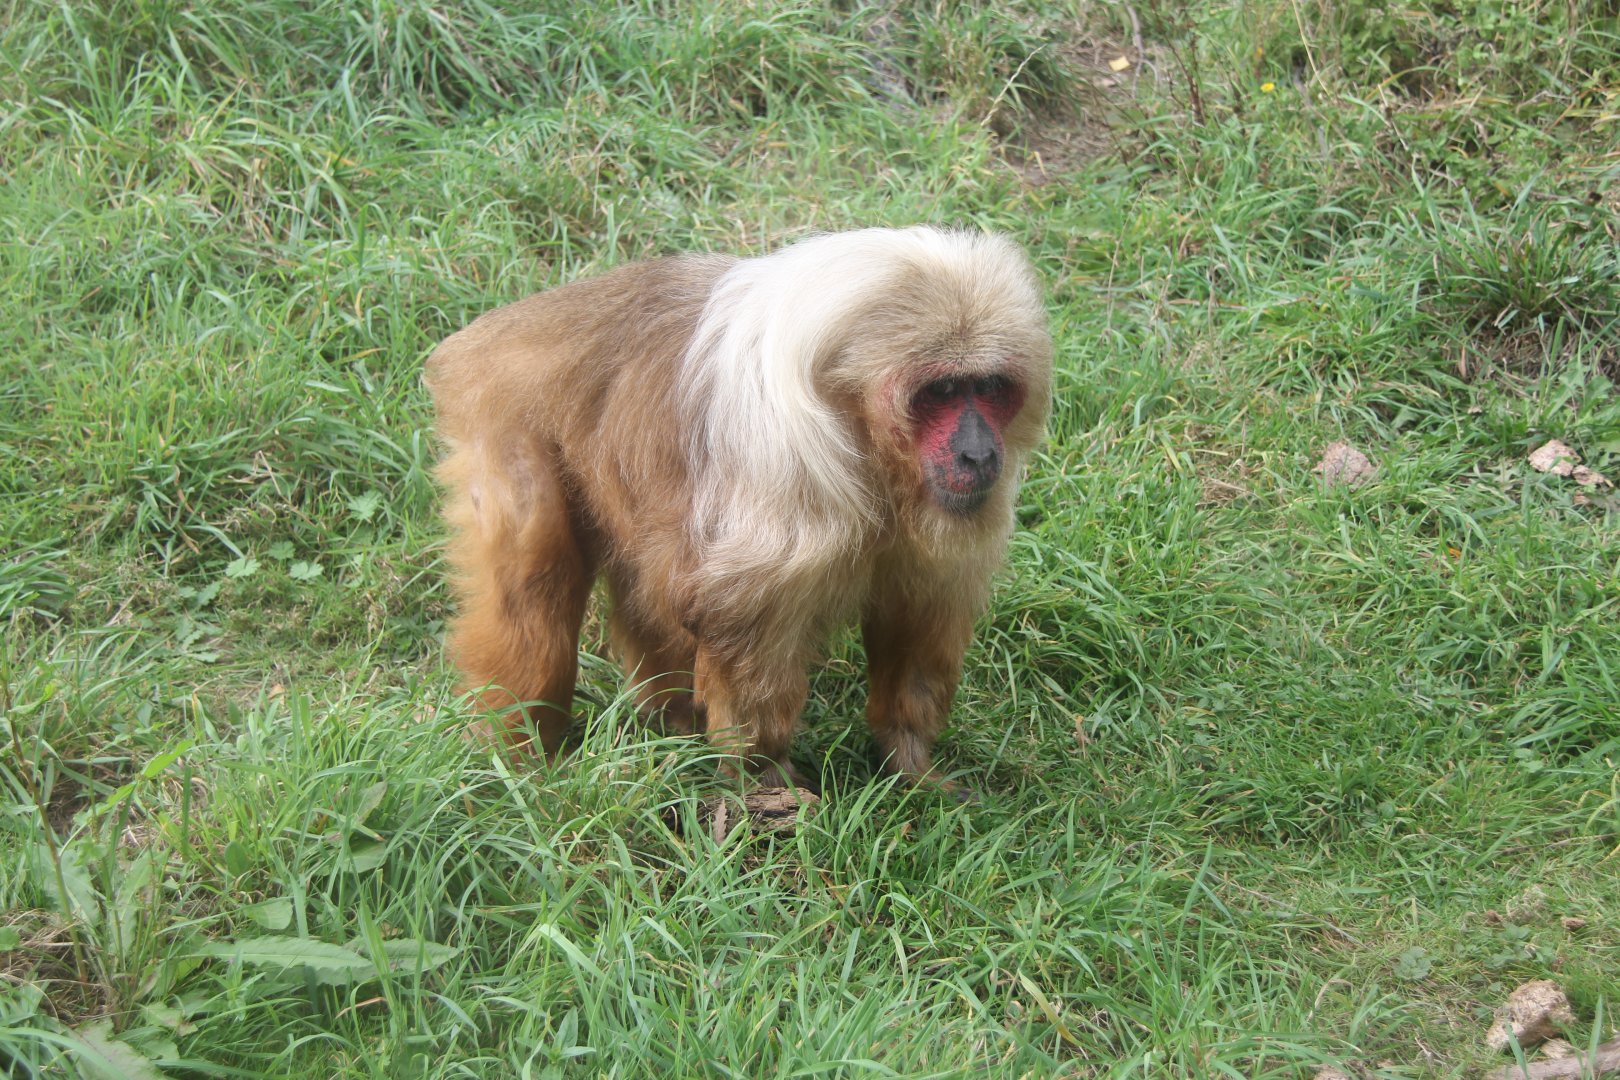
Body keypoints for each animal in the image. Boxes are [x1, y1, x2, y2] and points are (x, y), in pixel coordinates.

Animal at [426, 226, 1052, 796]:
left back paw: (668, 728)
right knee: (537, 584)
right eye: (942, 392)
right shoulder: (791, 473)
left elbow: (920, 609)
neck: (867, 440)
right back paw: (525, 758)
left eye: (989, 388)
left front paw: (909, 757)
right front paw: (765, 782)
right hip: (506, 423)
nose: (978, 453)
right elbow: (744, 620)